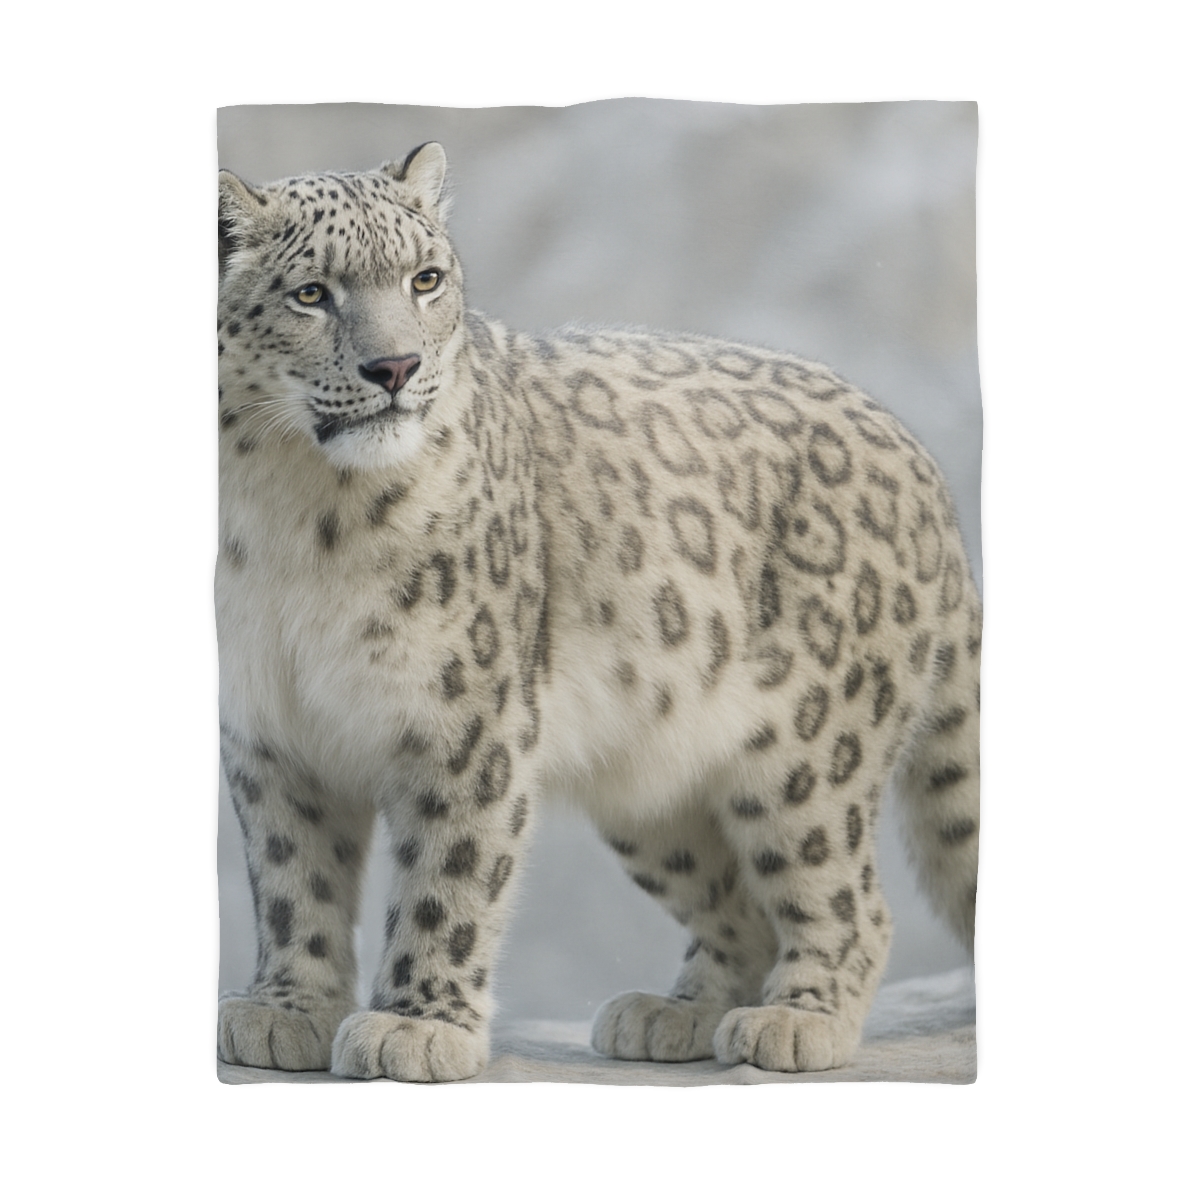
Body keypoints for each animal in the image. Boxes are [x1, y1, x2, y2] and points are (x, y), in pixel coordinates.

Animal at [215, 142, 980, 1082]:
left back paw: (797, 1019)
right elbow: (295, 879)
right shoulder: (271, 730)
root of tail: (925, 467)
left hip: (811, 755)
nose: (395, 370)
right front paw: (285, 1010)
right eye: (311, 292)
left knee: (845, 897)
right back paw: (673, 1013)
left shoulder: (465, 718)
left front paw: (416, 1027)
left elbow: (446, 876)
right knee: (738, 902)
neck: (291, 513)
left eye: (426, 279)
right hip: (652, 794)